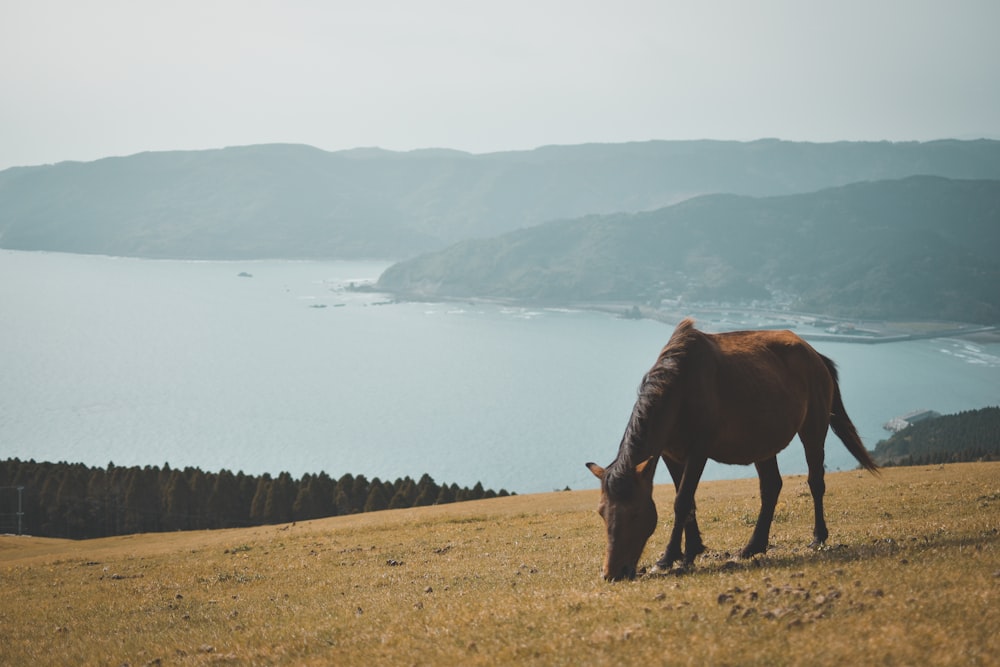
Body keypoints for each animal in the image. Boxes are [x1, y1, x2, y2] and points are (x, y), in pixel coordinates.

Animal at [584, 316, 880, 580]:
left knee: (815, 481)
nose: (612, 573)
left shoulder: (699, 451)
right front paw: (691, 551)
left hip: (814, 430)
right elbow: (687, 500)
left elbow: (682, 501)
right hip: (764, 441)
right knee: (771, 486)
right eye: (601, 512)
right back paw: (753, 546)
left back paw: (818, 537)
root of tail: (815, 354)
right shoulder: (669, 454)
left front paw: (668, 558)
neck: (679, 390)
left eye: (635, 513)